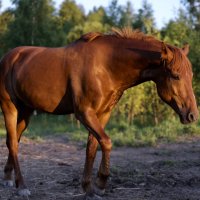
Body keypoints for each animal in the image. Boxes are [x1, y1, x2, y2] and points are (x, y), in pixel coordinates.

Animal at [0, 27, 198, 198]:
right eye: (176, 75)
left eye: (191, 76)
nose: (193, 115)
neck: (106, 65)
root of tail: (10, 57)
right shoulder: (84, 113)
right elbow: (107, 142)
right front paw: (101, 183)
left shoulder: (102, 114)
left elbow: (92, 148)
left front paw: (88, 188)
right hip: (9, 108)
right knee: (13, 142)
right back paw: (22, 186)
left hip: (26, 112)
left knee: (14, 140)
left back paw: (9, 178)